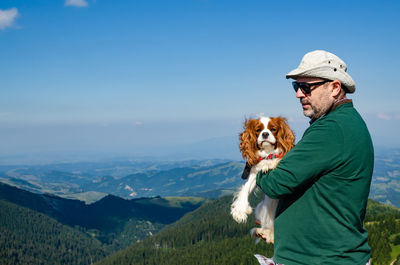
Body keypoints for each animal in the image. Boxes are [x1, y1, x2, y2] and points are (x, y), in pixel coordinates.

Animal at [231, 114, 294, 242]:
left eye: (273, 129)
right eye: (258, 130)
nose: (265, 134)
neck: (268, 153)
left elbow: (276, 162)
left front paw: (270, 164)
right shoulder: (254, 174)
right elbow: (245, 189)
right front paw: (239, 210)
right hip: (262, 207)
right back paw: (264, 232)